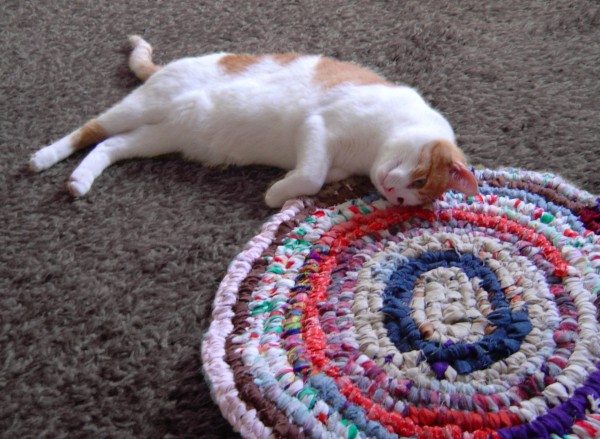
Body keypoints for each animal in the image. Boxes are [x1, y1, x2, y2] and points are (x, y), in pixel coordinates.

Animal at [29, 36, 478, 208]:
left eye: (404, 200)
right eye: (418, 179)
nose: (390, 190)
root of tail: (167, 67)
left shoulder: (334, 159)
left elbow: (319, 177)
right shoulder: (317, 126)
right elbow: (310, 176)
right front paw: (276, 195)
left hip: (157, 137)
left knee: (109, 146)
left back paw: (80, 180)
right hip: (140, 108)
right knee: (91, 130)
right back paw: (45, 156)